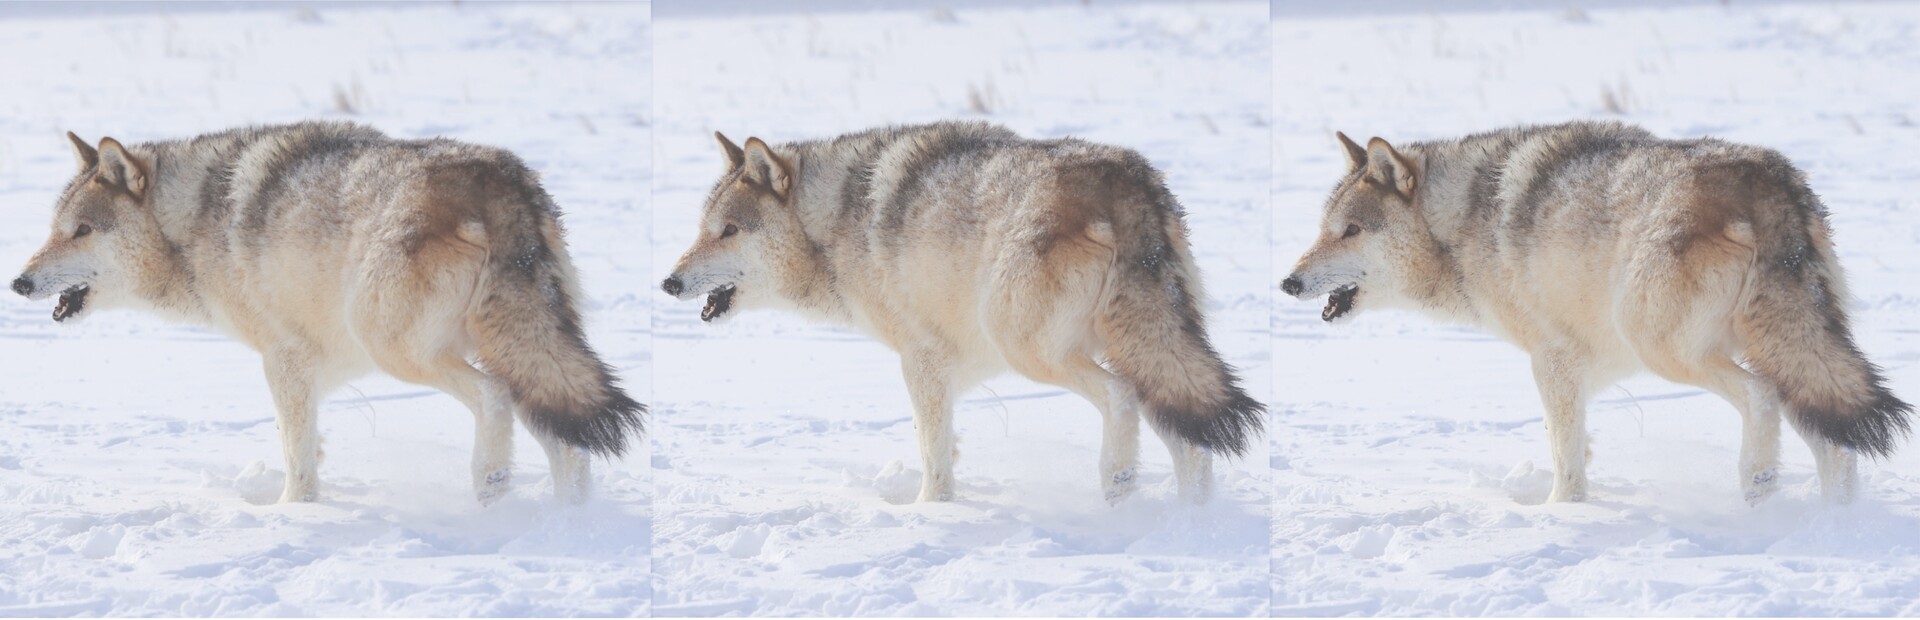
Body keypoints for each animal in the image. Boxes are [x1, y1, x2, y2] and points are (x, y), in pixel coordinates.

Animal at [12, 122, 645, 504]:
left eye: (81, 231)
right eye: (54, 229)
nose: (18, 282)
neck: (190, 225)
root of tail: (499, 180)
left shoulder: (282, 359)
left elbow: (297, 457)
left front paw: (290, 516)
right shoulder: (316, 367)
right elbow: (304, 441)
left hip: (398, 347)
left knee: (496, 399)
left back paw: (490, 490)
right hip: (521, 355)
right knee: (568, 442)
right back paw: (565, 524)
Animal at [661, 121, 1263, 504]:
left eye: (728, 231)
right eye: (702, 230)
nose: (669, 282)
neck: (832, 225)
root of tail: (1127, 180)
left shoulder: (918, 359)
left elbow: (933, 456)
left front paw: (928, 516)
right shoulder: (955, 365)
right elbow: (942, 441)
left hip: (1030, 348)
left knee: (1122, 398)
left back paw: (1117, 489)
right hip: (1149, 356)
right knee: (1192, 445)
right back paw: (1190, 523)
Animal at [1282, 120, 1910, 504]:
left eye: (1350, 231)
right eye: (1323, 229)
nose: (1288, 283)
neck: (1459, 225)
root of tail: (1767, 179)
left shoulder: (1549, 360)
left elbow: (1565, 458)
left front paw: (1558, 515)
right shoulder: (1584, 368)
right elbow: (1572, 441)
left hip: (1666, 348)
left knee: (1763, 399)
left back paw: (1758, 487)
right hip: (1790, 355)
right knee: (1836, 442)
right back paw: (1833, 525)